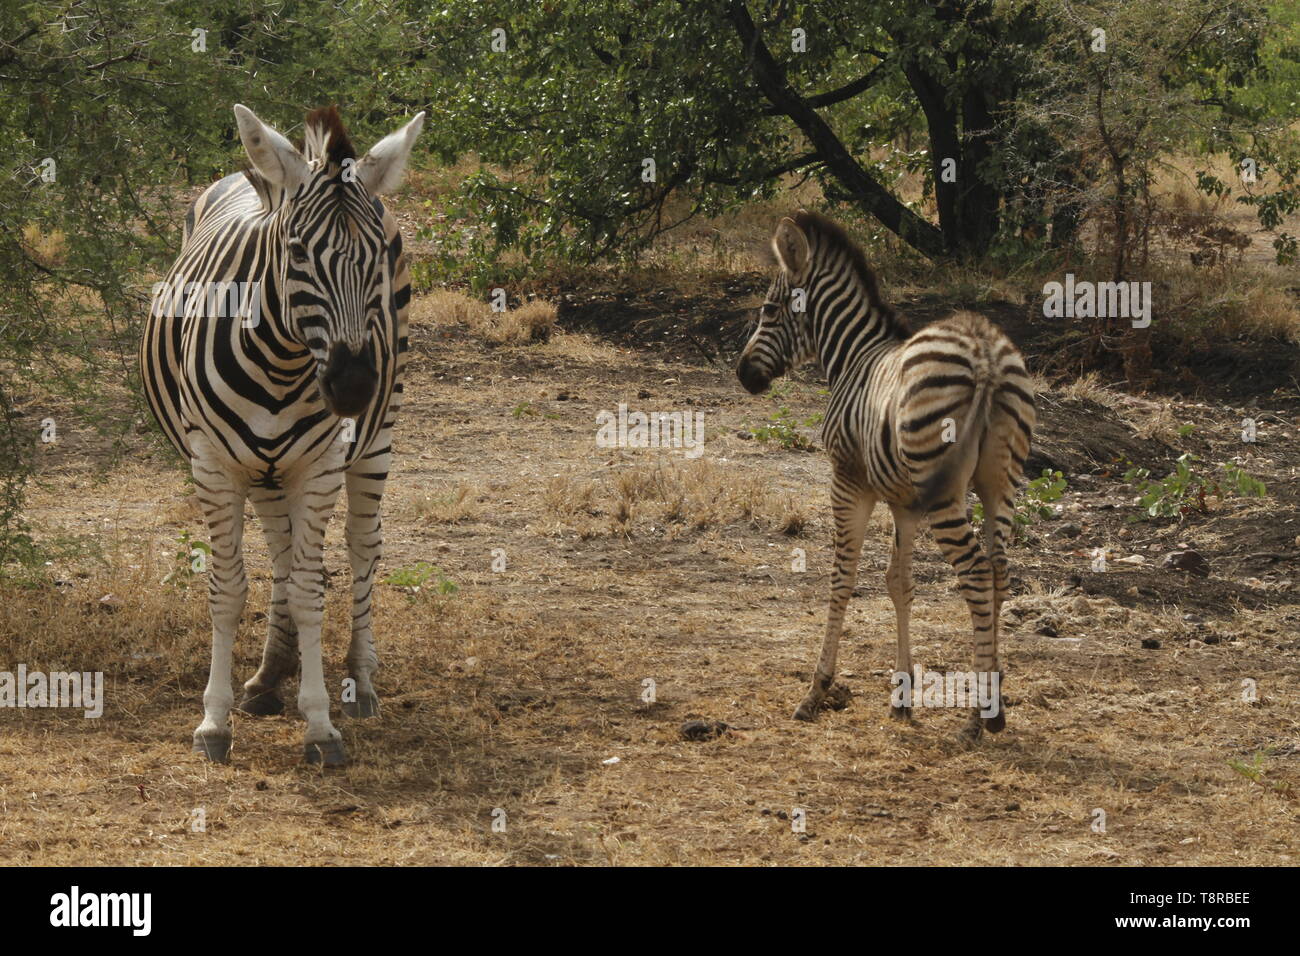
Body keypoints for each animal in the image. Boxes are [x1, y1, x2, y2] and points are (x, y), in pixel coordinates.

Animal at [142, 102, 426, 764]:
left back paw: (360, 679)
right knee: (280, 549)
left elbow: (309, 589)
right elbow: (229, 588)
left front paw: (320, 723)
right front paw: (214, 720)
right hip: (267, 468)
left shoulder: (321, 464)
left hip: (377, 435)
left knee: (362, 546)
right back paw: (270, 674)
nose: (352, 387)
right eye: (297, 250)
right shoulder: (213, 465)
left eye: (376, 255)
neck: (281, 361)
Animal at [743, 213, 1034, 743]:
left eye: (770, 310)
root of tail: (983, 349)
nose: (743, 375)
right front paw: (902, 696)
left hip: (946, 493)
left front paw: (816, 690)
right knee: (1000, 571)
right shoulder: (905, 500)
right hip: (1000, 483)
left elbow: (844, 577)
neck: (853, 356)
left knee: (976, 572)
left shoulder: (849, 479)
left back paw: (978, 718)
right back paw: (996, 705)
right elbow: (899, 582)